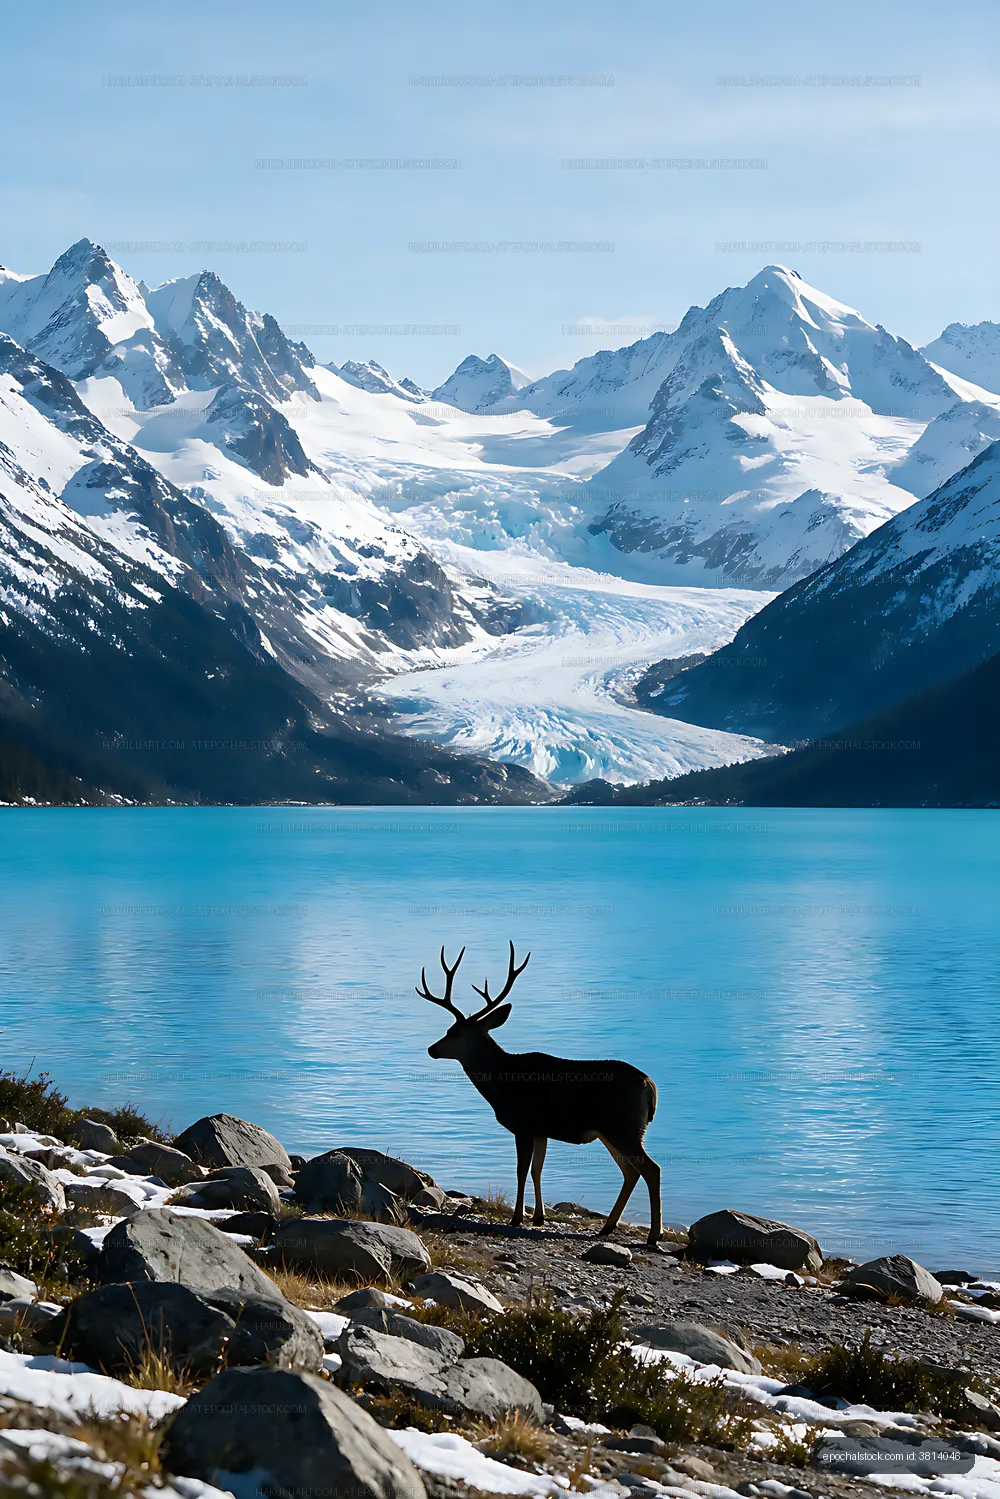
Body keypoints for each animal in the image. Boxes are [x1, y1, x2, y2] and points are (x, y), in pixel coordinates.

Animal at [417, 941, 662, 1248]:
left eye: (455, 1033)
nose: (431, 1049)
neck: (502, 1082)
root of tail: (650, 1087)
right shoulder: (541, 1129)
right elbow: (537, 1169)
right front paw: (538, 1217)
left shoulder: (523, 1124)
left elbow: (521, 1169)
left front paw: (517, 1218)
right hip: (614, 1131)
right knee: (631, 1172)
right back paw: (607, 1227)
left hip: (622, 1126)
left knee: (651, 1169)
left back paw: (653, 1236)